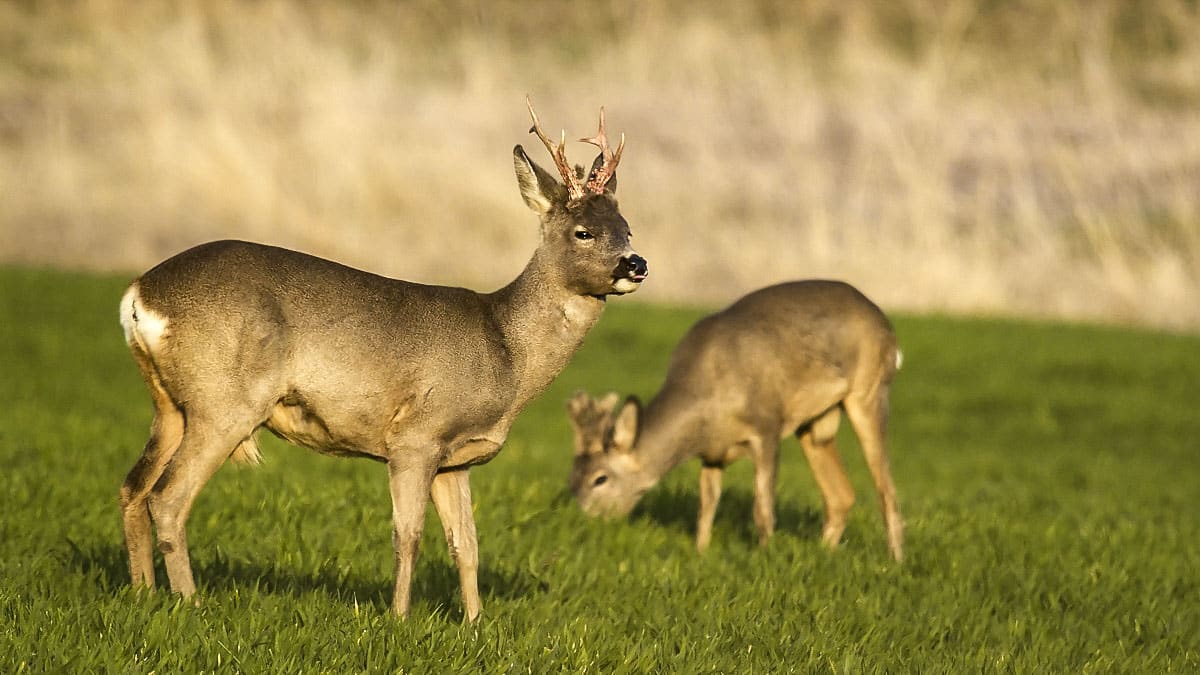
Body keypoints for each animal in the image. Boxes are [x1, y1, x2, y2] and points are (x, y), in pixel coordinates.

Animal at [118, 97, 648, 619]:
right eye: (583, 232)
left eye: (626, 229)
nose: (636, 264)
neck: (506, 351)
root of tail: (139, 295)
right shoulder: (415, 436)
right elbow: (407, 536)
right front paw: (399, 619)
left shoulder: (456, 460)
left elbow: (467, 545)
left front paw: (476, 624)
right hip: (224, 401)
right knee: (168, 497)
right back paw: (189, 602)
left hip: (171, 405)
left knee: (133, 487)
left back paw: (144, 595)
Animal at [568, 278, 902, 557]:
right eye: (572, 478)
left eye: (600, 478)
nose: (579, 520)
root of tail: (885, 323)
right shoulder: (712, 452)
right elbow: (706, 506)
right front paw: (701, 552)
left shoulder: (767, 425)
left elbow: (763, 507)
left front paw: (766, 556)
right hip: (815, 422)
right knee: (841, 496)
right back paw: (825, 553)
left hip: (868, 391)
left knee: (886, 490)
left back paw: (894, 560)